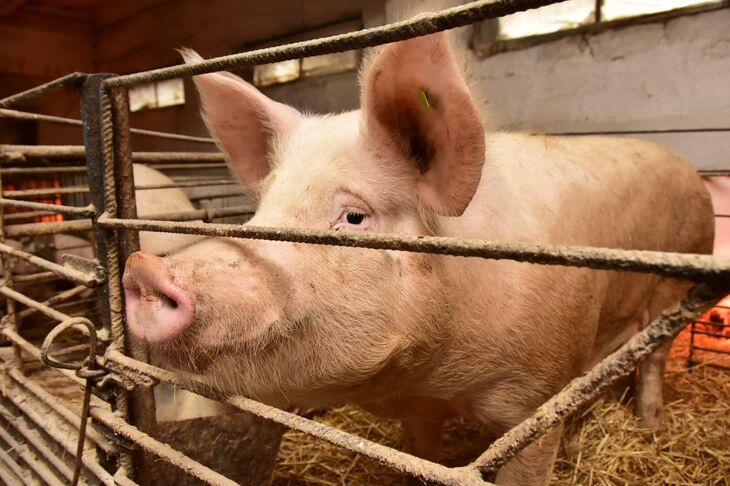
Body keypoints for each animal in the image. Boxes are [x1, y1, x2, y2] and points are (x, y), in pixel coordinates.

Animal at [122, 34, 714, 485]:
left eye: (354, 217)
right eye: (262, 208)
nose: (143, 269)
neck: (442, 374)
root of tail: (692, 171)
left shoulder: (539, 399)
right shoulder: (419, 409)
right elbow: (423, 458)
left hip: (677, 285)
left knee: (655, 360)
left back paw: (651, 427)